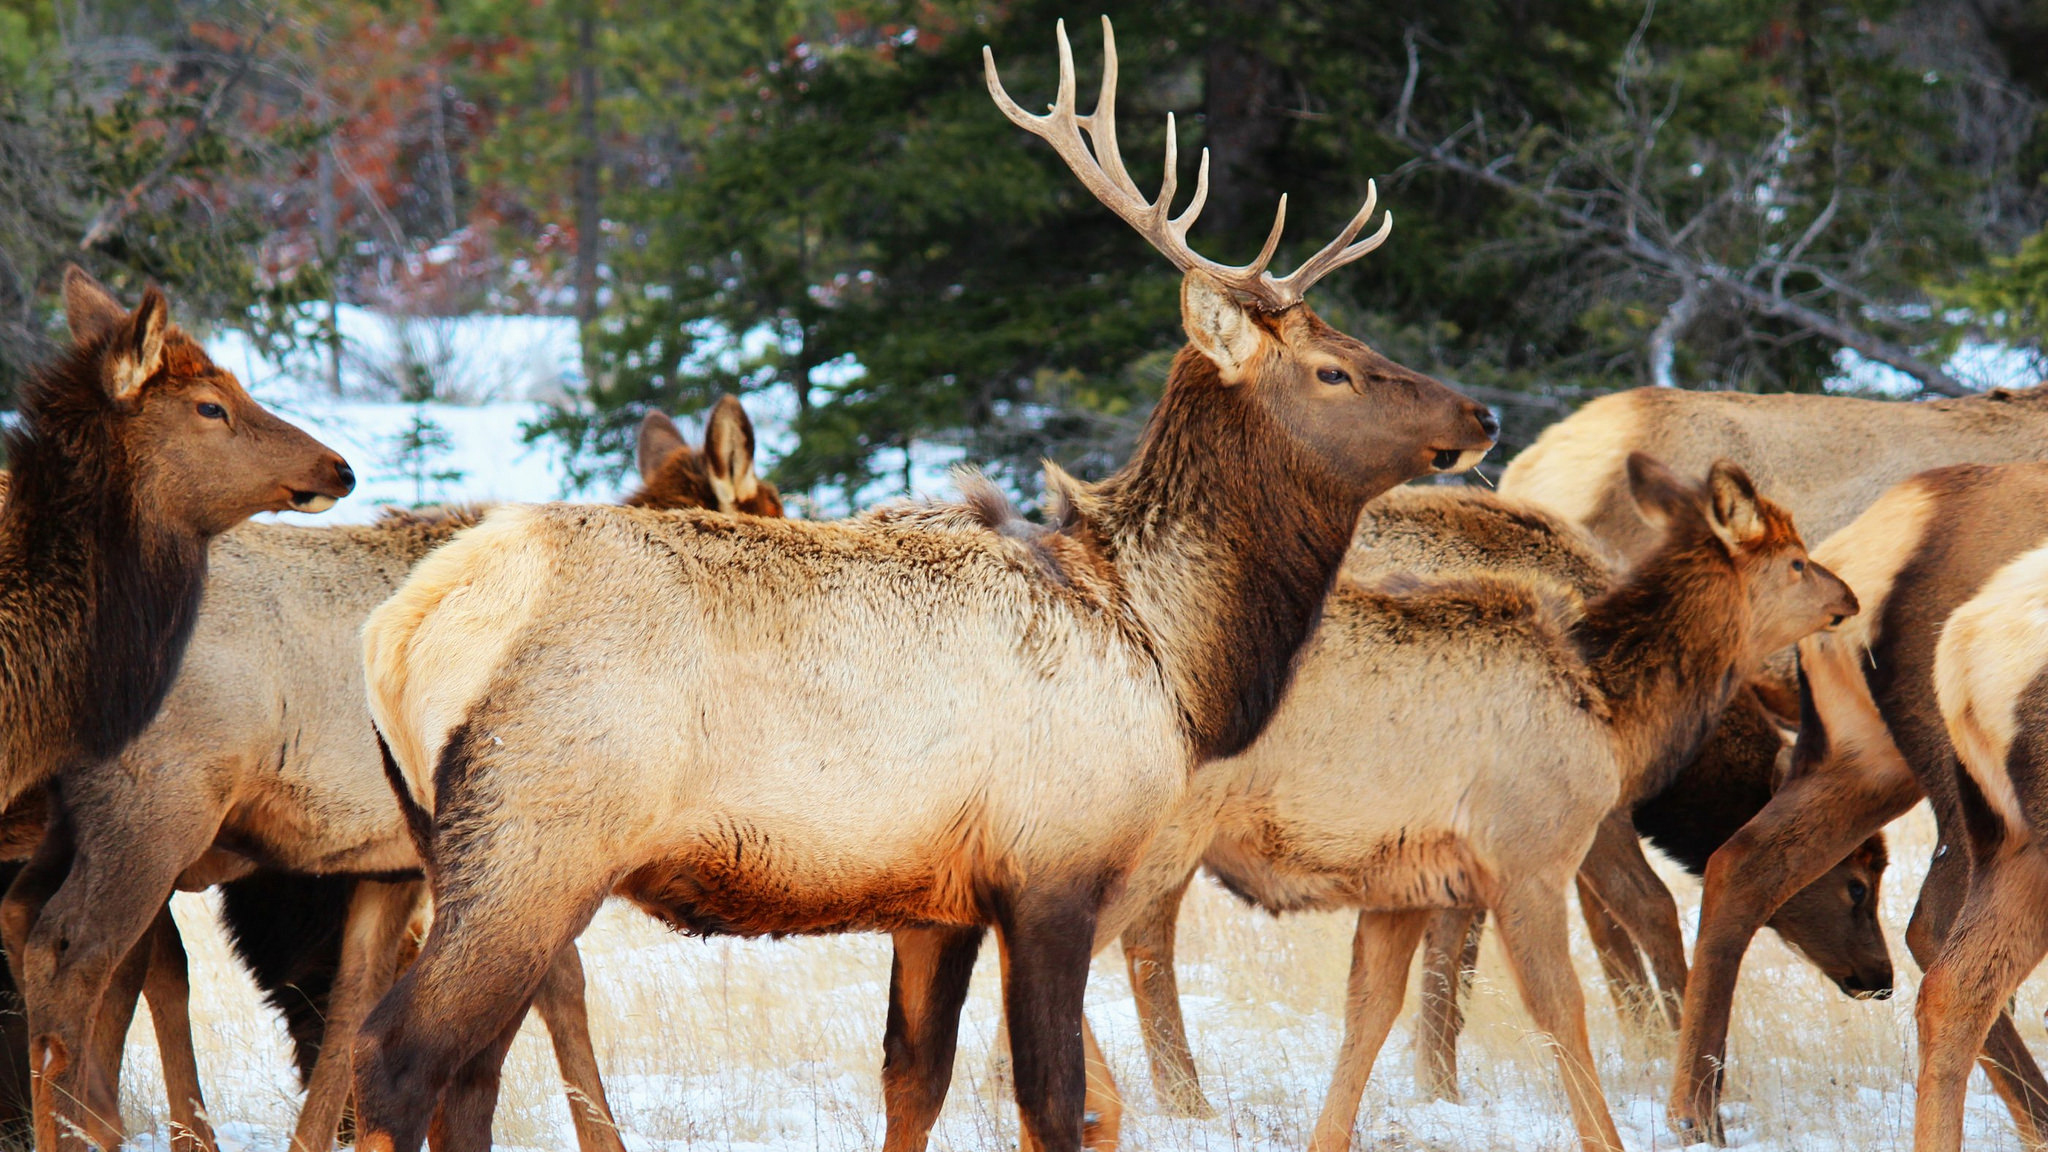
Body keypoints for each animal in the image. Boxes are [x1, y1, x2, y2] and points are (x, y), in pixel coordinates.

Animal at [0, 397, 778, 1147]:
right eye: (770, 511)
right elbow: (558, 991)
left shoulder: (391, 865)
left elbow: (353, 1005)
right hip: (157, 810)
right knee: (83, 953)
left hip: (87, 820)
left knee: (44, 924)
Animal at [352, 20, 1499, 1147]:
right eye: (1333, 371)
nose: (1481, 413)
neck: (1171, 652)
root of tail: (399, 631)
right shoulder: (1053, 865)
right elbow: (1051, 1097)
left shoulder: (934, 901)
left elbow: (916, 1081)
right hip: (537, 839)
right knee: (396, 1058)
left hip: (456, 845)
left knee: (470, 1075)